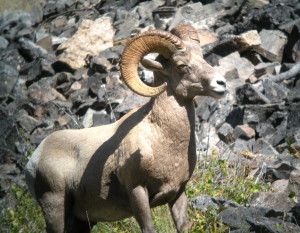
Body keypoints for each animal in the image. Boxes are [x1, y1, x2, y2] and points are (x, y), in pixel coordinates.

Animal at [25, 24, 226, 232]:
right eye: (181, 66)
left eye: (202, 57)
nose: (221, 83)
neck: (163, 139)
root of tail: (34, 159)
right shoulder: (137, 191)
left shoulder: (178, 194)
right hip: (55, 208)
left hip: (81, 221)